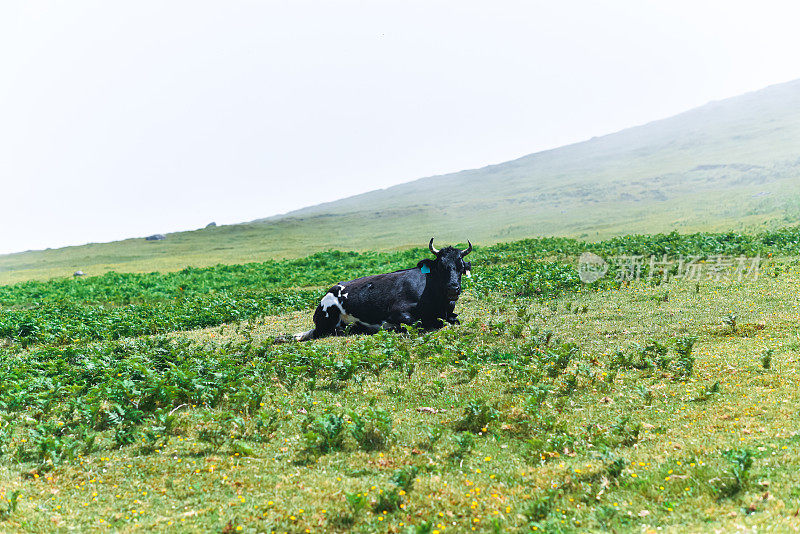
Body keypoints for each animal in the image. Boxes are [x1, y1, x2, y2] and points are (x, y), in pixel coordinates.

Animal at [292, 240, 468, 344]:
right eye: (441, 266)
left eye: (461, 267)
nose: (453, 288)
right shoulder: (396, 312)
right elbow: (417, 324)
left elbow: (454, 320)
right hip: (328, 320)